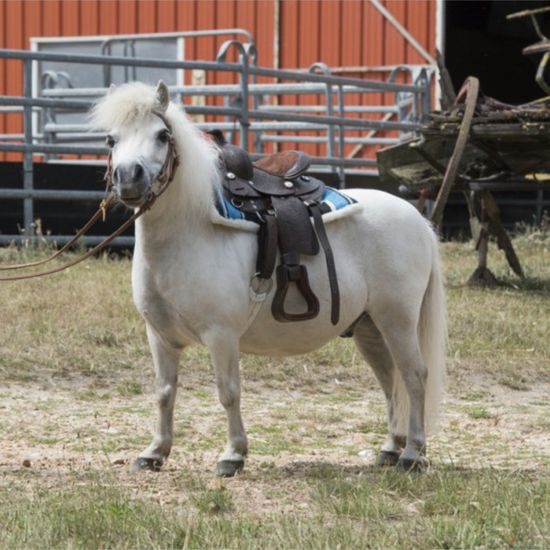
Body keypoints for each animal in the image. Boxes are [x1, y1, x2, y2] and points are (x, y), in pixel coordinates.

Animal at [91, 81, 448, 478]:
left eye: (162, 135)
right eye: (111, 139)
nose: (129, 177)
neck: (191, 230)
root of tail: (418, 221)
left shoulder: (221, 335)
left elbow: (228, 391)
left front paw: (233, 455)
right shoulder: (160, 336)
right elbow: (164, 392)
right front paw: (155, 452)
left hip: (397, 320)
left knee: (414, 376)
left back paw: (412, 454)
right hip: (370, 327)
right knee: (390, 381)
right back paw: (390, 448)